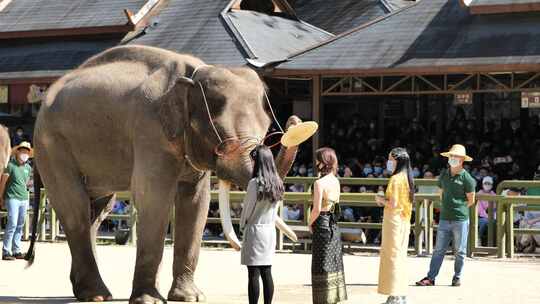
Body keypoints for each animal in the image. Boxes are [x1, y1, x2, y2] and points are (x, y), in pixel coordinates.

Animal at [30, 45, 300, 304]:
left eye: (267, 128)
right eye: (221, 137)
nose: (295, 121)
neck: (194, 74)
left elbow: (196, 203)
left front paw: (190, 297)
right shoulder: (149, 130)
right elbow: (154, 197)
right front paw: (150, 300)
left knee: (97, 209)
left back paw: (89, 292)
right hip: (52, 145)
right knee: (74, 207)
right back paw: (96, 295)